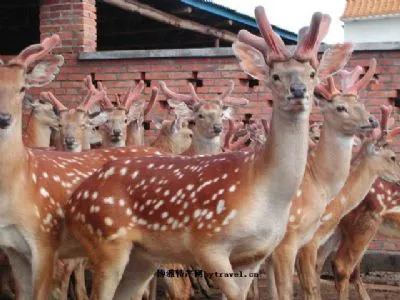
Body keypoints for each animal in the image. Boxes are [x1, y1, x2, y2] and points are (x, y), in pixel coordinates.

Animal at [61, 8, 354, 298]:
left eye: (312, 74)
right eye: (275, 75)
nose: (298, 91)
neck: (262, 189)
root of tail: (75, 199)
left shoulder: (256, 255)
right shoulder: (208, 243)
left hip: (142, 255)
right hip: (107, 241)